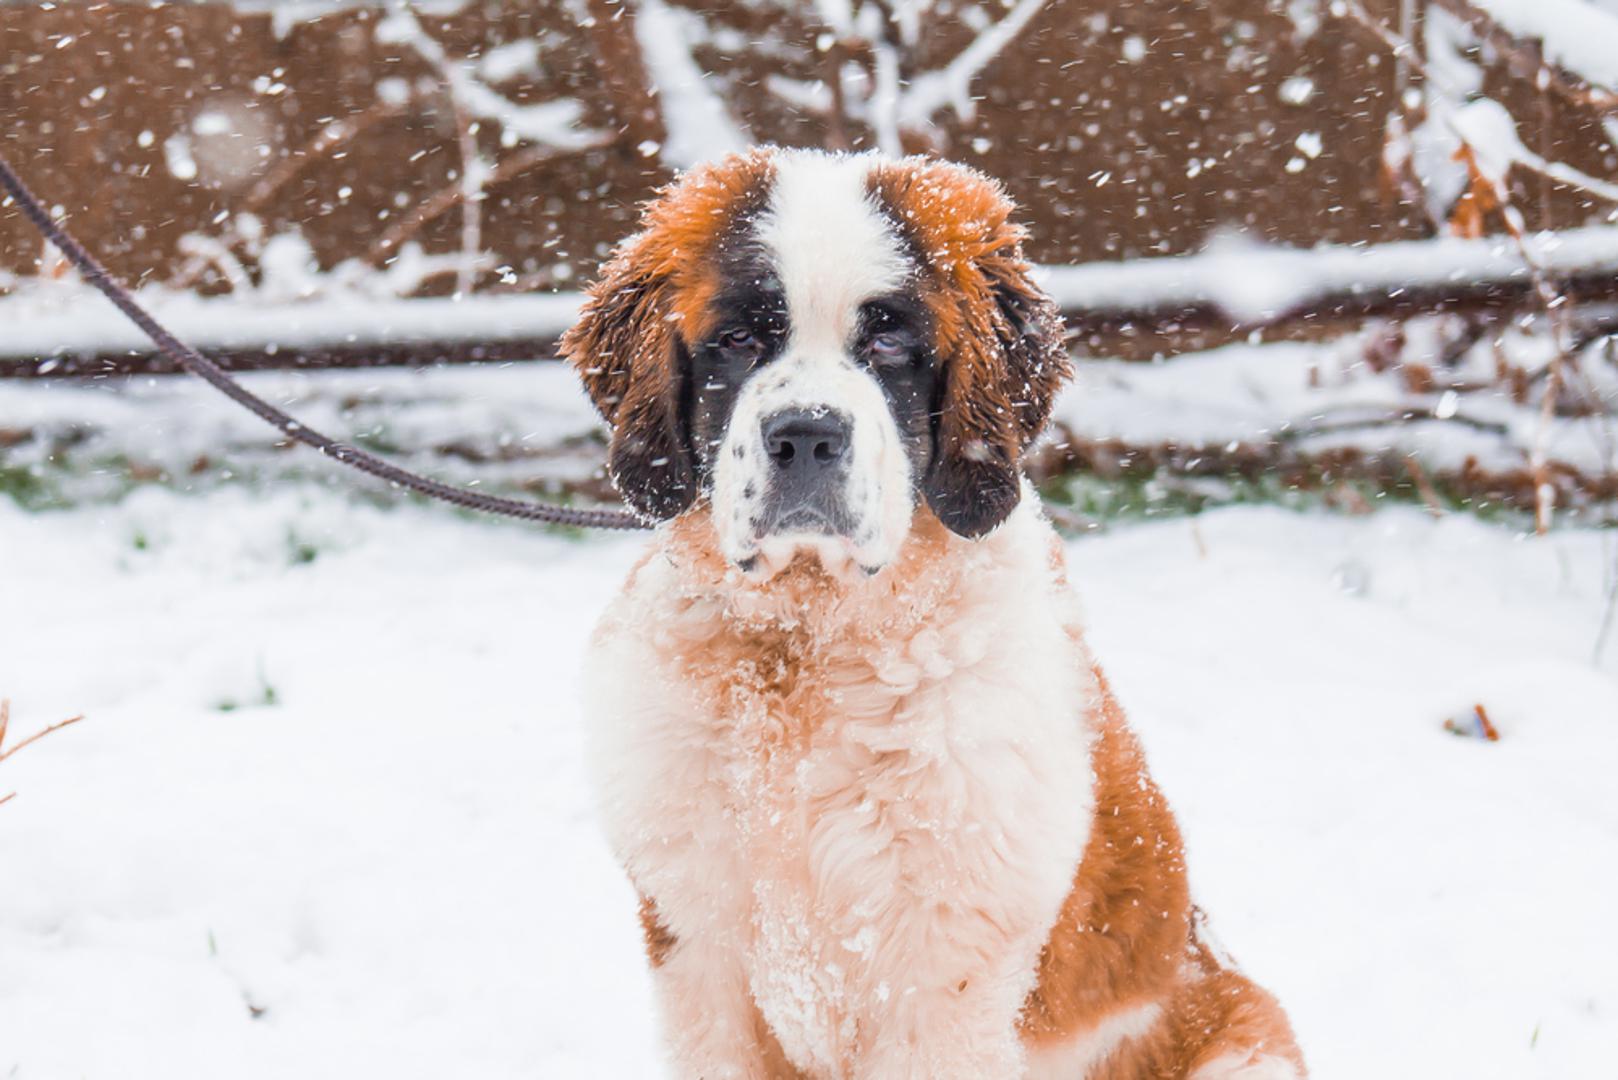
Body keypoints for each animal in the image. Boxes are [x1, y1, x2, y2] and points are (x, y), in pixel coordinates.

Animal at [559, 145, 1300, 1080]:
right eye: (738, 339)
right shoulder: (699, 952)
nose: (806, 435)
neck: (805, 648)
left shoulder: (938, 980)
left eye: (888, 341)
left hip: (1243, 1037)